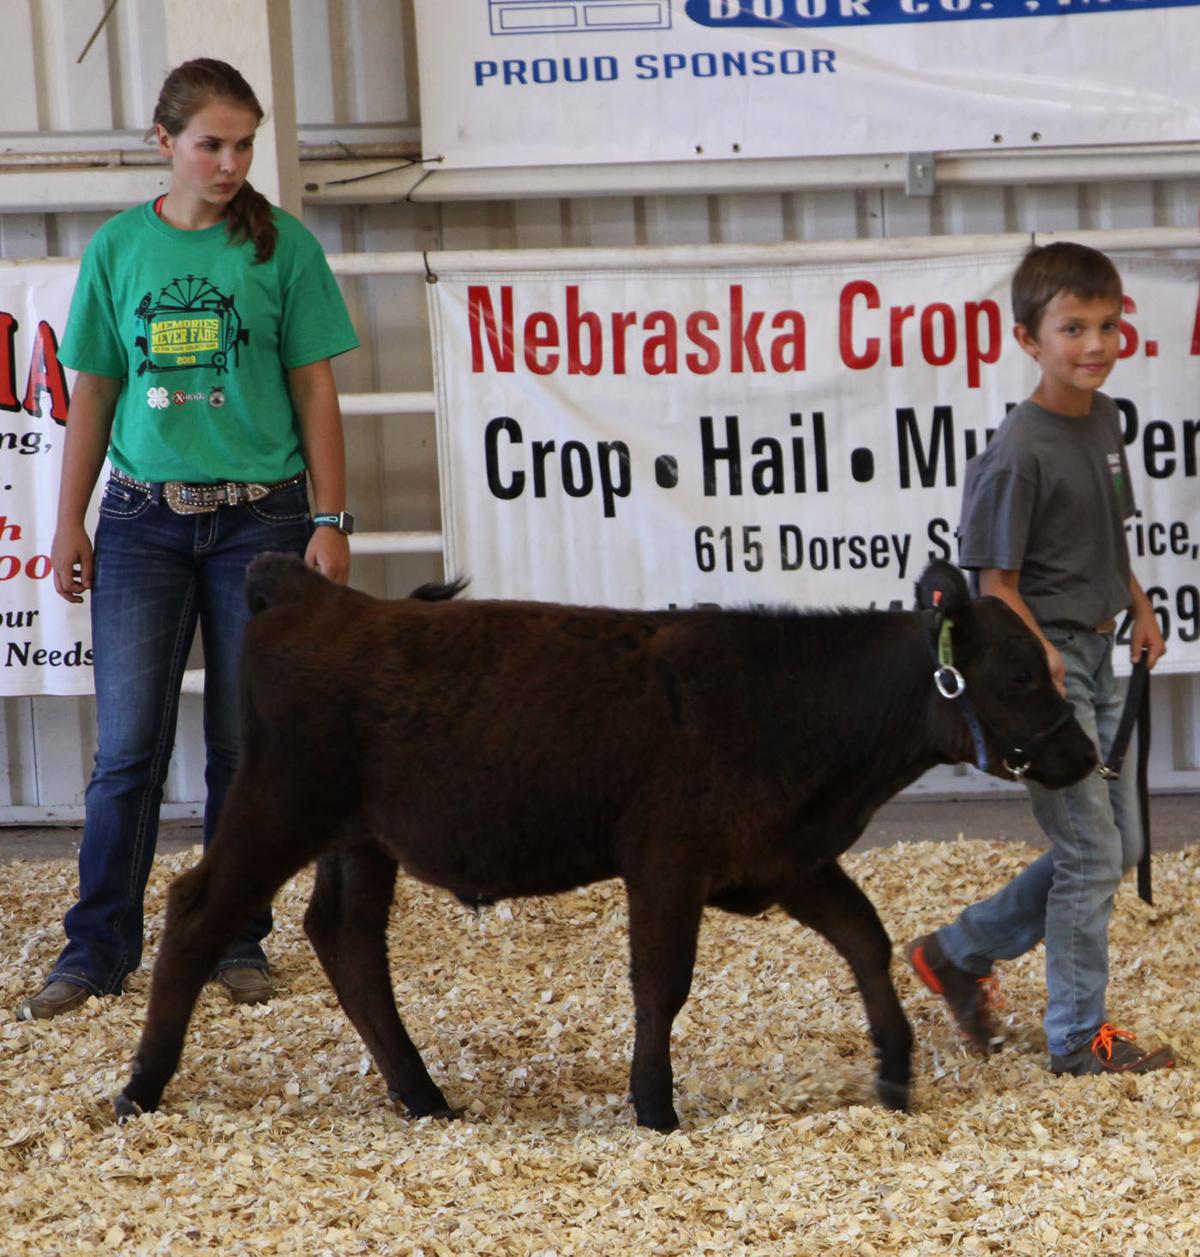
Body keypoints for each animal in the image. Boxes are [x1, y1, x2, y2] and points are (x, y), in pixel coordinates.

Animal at [114, 556, 1095, 1130]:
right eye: (1019, 670)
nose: (1084, 753)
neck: (788, 699)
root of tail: (317, 593)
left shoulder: (782, 856)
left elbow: (866, 937)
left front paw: (894, 1069)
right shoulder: (667, 860)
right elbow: (662, 982)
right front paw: (655, 1106)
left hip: (359, 839)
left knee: (348, 942)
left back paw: (424, 1096)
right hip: (279, 803)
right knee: (197, 911)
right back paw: (139, 1089)